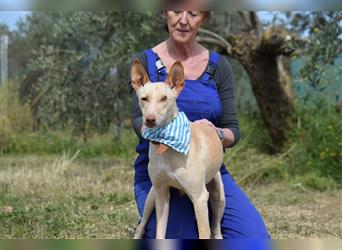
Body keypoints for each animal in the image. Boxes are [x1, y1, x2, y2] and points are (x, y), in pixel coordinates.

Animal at [130, 59, 224, 240]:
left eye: (164, 98)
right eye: (144, 98)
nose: (150, 119)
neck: (167, 144)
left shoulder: (200, 198)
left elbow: (204, 232)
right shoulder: (161, 194)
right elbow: (159, 233)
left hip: (219, 196)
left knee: (216, 227)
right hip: (151, 196)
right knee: (141, 225)